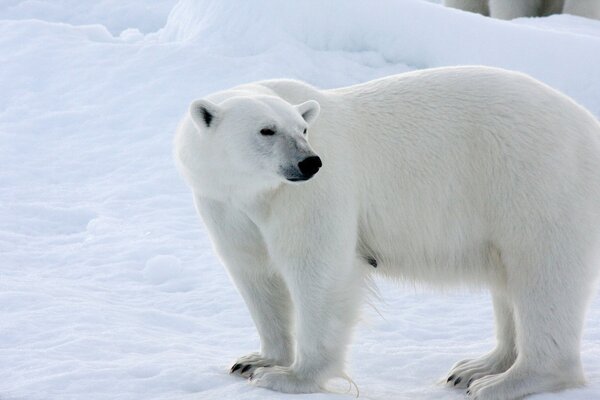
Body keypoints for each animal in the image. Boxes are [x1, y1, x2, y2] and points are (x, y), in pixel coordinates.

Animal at [173, 66, 600, 400]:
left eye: (304, 129)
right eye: (267, 130)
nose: (310, 162)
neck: (256, 192)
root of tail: (590, 127)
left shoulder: (313, 195)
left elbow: (319, 271)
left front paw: (288, 377)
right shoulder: (224, 204)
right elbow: (255, 274)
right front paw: (254, 361)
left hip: (537, 181)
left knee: (543, 276)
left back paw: (506, 381)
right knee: (509, 279)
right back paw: (475, 368)